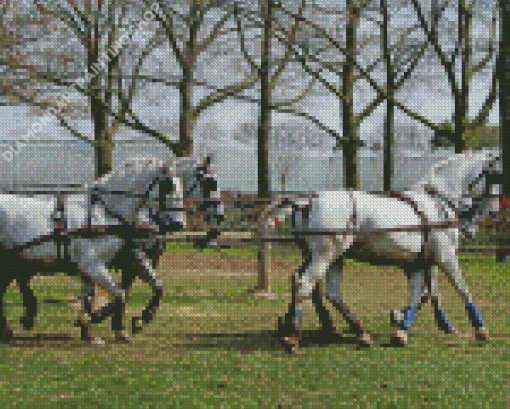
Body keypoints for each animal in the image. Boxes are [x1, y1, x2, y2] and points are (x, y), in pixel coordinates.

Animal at [0, 154, 223, 344]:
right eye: (210, 182)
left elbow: (154, 287)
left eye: (181, 185)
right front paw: (114, 326)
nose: (179, 223)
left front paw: (92, 326)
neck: (107, 212)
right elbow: (120, 293)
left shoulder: (116, 261)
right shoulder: (94, 264)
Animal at [266, 150, 502, 350]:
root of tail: (307, 200)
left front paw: (404, 327)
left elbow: (422, 294)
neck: (438, 203)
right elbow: (461, 288)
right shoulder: (445, 256)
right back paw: (294, 336)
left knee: (324, 290)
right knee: (306, 284)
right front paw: (480, 329)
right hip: (326, 254)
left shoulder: (419, 262)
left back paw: (351, 331)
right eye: (498, 175)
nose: (494, 211)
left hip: (330, 256)